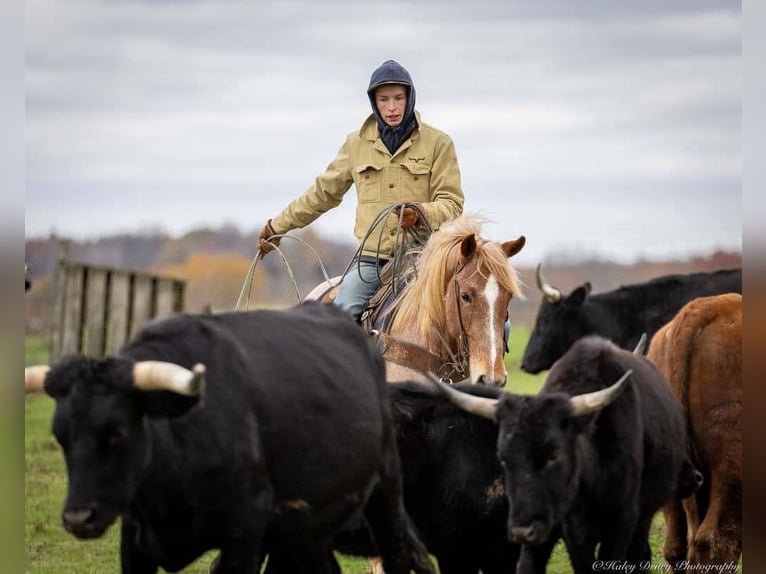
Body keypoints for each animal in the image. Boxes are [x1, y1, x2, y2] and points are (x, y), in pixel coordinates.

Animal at [24, 302, 438, 574]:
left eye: (118, 432)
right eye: (60, 436)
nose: (78, 518)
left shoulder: (244, 530)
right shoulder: (134, 540)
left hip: (384, 492)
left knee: (397, 554)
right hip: (310, 525)